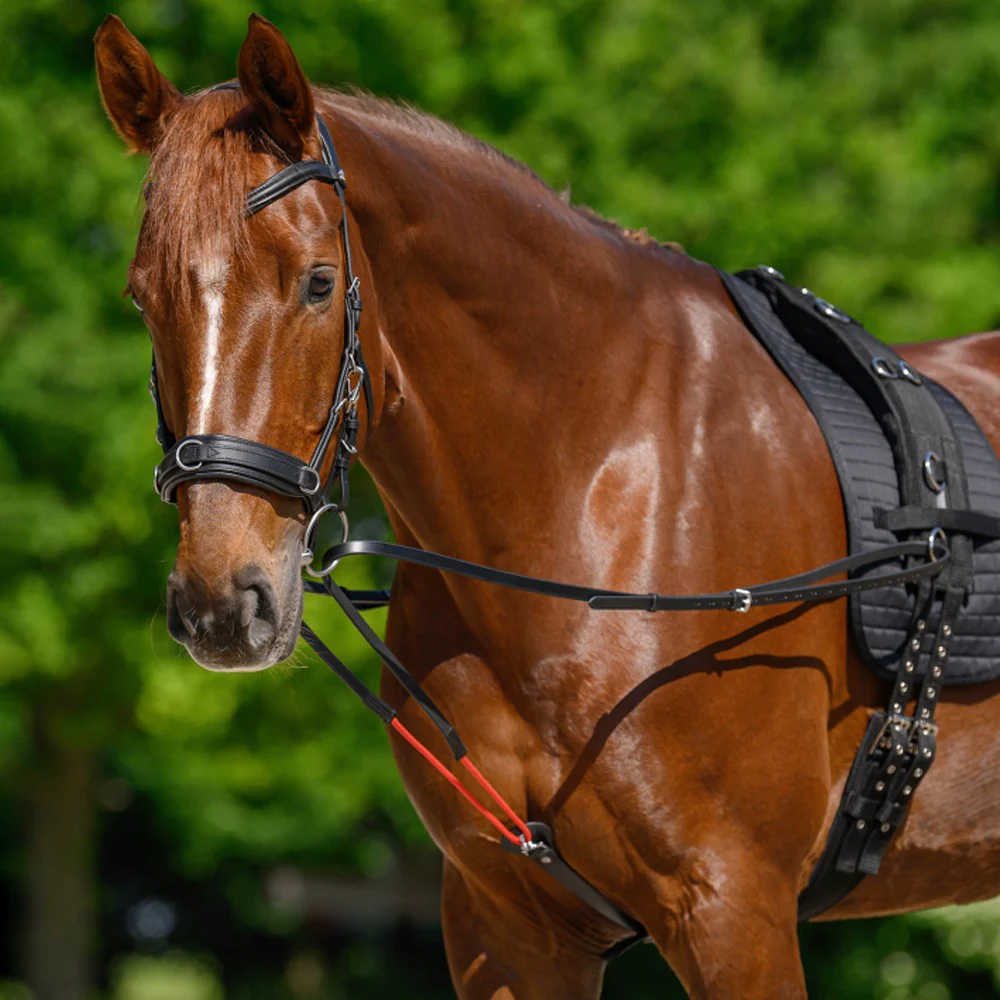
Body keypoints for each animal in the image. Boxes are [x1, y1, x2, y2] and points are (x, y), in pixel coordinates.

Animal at [94, 14, 1000, 998]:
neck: (595, 493)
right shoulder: (506, 927)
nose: (223, 603)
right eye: (143, 297)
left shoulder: (735, 912)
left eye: (318, 282)